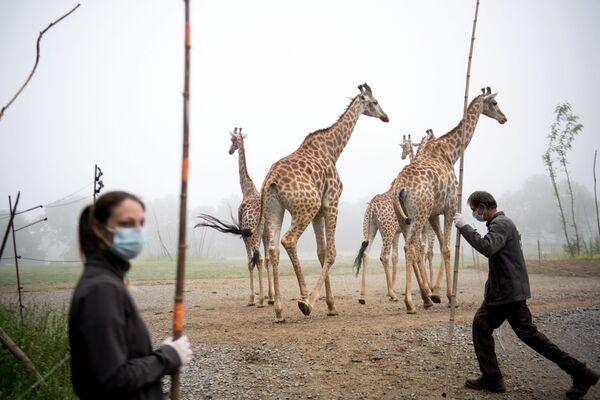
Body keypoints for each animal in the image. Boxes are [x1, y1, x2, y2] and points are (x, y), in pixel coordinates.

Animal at [195, 127, 274, 306]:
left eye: (232, 141)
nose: (230, 151)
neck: (247, 189)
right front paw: (266, 297)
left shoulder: (244, 234)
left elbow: (249, 263)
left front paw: (252, 299)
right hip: (264, 232)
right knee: (266, 259)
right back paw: (271, 298)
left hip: (252, 235)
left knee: (258, 260)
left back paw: (259, 300)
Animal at [253, 83, 390, 322]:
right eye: (375, 101)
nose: (386, 117)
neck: (333, 150)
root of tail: (270, 181)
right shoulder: (331, 202)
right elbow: (332, 253)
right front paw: (314, 302)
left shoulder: (319, 211)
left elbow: (321, 252)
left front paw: (331, 305)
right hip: (306, 207)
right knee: (288, 240)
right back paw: (304, 296)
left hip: (275, 210)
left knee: (272, 248)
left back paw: (279, 310)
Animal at [354, 130, 434, 304]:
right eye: (402, 145)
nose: (403, 155)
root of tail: (372, 207)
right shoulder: (408, 230)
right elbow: (413, 253)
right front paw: (423, 289)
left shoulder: (399, 233)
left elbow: (397, 256)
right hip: (388, 230)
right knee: (384, 256)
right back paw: (394, 294)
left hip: (370, 228)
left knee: (366, 254)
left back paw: (363, 295)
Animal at [392, 86, 504, 312]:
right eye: (495, 103)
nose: (504, 118)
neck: (451, 153)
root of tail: (400, 187)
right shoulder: (450, 207)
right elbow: (446, 248)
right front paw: (449, 296)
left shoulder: (434, 213)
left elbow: (442, 246)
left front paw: (436, 294)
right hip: (418, 214)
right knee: (411, 246)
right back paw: (411, 302)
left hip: (404, 217)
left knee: (411, 247)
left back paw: (424, 298)